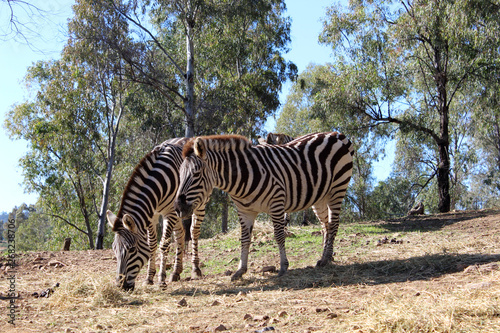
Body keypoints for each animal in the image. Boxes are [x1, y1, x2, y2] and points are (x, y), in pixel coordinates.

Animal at [106, 136, 208, 290]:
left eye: (131, 250)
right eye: (114, 249)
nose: (120, 286)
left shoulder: (169, 213)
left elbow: (164, 244)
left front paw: (161, 278)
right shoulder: (151, 215)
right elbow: (152, 244)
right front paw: (149, 277)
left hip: (199, 203)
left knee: (194, 231)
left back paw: (195, 269)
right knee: (180, 234)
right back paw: (176, 272)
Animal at [174, 131, 354, 278]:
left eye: (196, 174)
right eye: (180, 174)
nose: (178, 207)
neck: (243, 175)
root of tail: (337, 134)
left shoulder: (277, 203)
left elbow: (279, 235)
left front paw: (283, 266)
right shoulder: (244, 211)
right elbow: (245, 239)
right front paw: (241, 270)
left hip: (337, 188)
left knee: (334, 223)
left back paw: (327, 258)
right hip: (320, 196)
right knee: (326, 225)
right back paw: (324, 258)